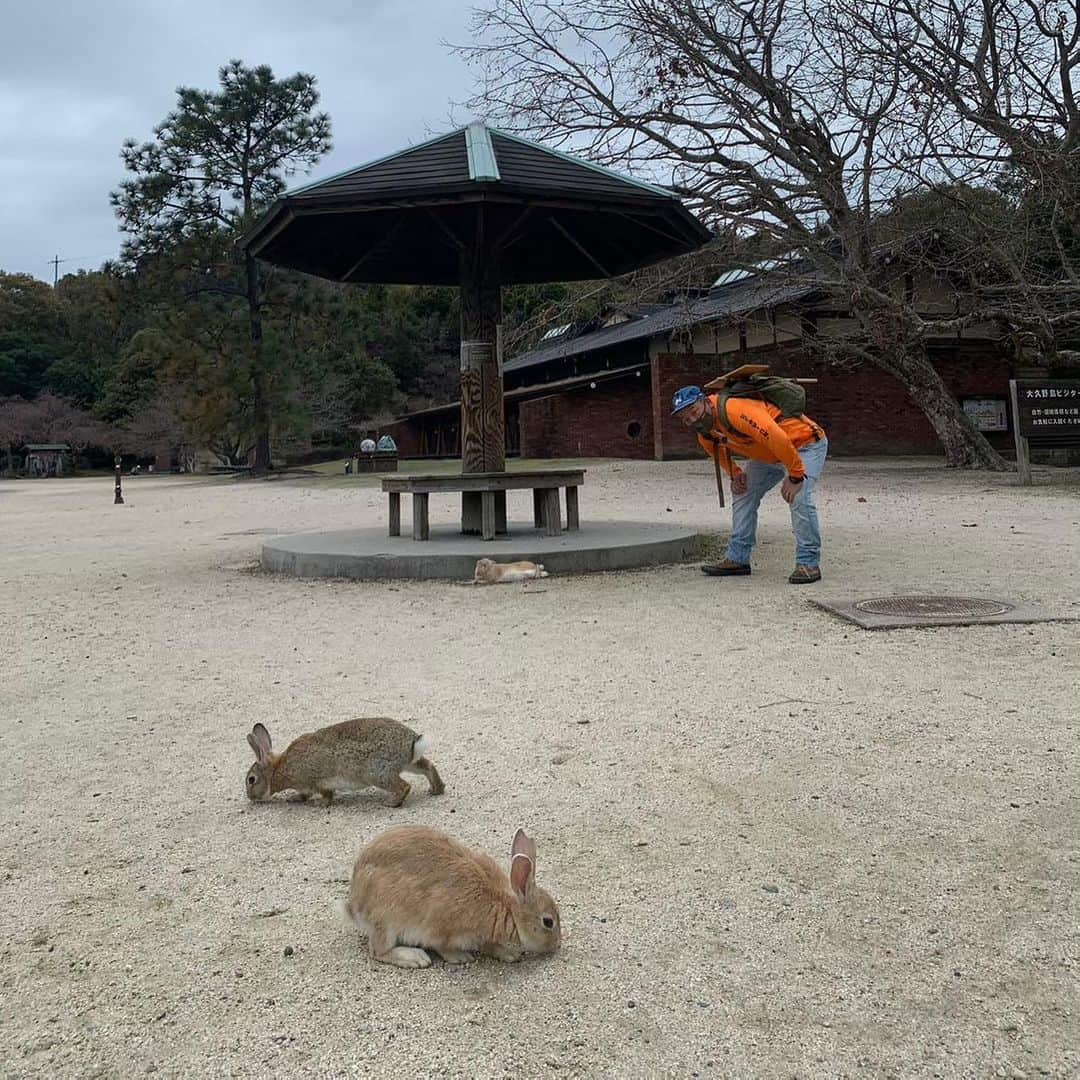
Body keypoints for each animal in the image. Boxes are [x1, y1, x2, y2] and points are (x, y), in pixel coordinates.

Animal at [245, 721, 442, 807]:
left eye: (251, 780)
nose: (250, 797)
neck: (277, 769)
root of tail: (412, 743)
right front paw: (293, 799)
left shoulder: (316, 782)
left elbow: (323, 795)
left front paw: (318, 804)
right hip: (409, 764)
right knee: (428, 766)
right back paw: (437, 789)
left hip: (377, 774)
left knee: (404, 786)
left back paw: (391, 803)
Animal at [345, 825, 561, 972]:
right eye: (548, 922)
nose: (556, 945)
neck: (505, 908)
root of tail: (353, 905)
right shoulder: (439, 926)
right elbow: (441, 946)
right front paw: (461, 957)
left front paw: (508, 954)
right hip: (386, 920)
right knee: (378, 951)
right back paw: (414, 958)